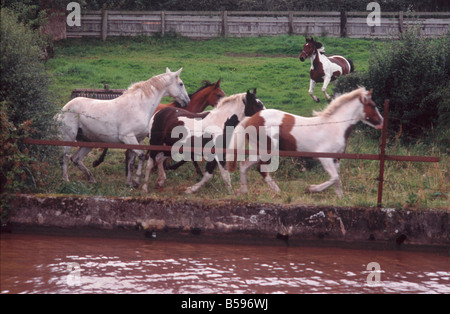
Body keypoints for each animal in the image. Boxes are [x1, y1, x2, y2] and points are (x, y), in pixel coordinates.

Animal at [56, 67, 190, 185]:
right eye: (181, 84)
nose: (187, 101)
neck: (139, 106)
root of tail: (63, 109)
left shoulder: (137, 140)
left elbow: (131, 162)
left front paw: (129, 183)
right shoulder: (128, 138)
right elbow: (141, 156)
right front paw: (136, 181)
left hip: (88, 142)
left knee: (76, 159)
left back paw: (91, 179)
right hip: (69, 138)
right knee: (65, 158)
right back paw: (66, 180)